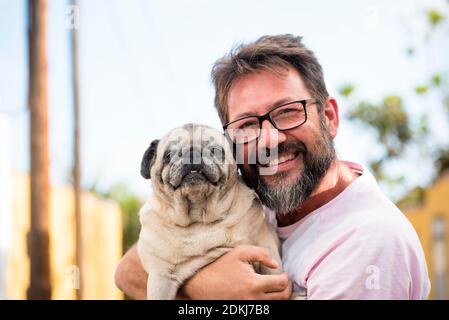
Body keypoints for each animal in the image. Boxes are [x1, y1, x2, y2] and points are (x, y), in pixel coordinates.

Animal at [138, 123, 282, 300]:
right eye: (168, 155)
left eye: (216, 150)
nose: (193, 153)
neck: (199, 219)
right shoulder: (161, 276)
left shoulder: (267, 254)